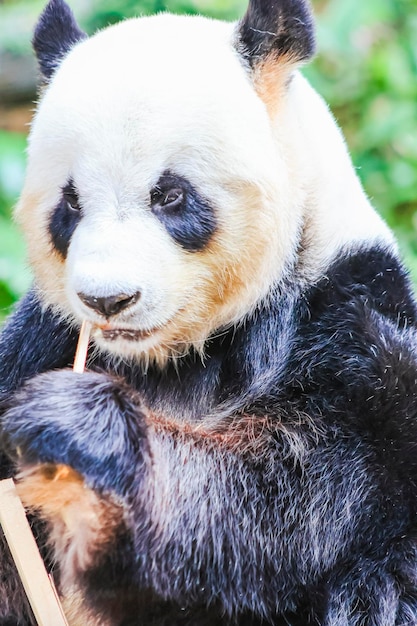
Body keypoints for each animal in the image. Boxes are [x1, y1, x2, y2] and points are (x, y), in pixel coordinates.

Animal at [0, 0, 416, 620]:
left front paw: (76, 427)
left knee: (381, 584)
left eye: (170, 195)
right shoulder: (38, 339)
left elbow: (278, 497)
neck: (171, 356)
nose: (107, 300)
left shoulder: (352, 325)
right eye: (70, 202)